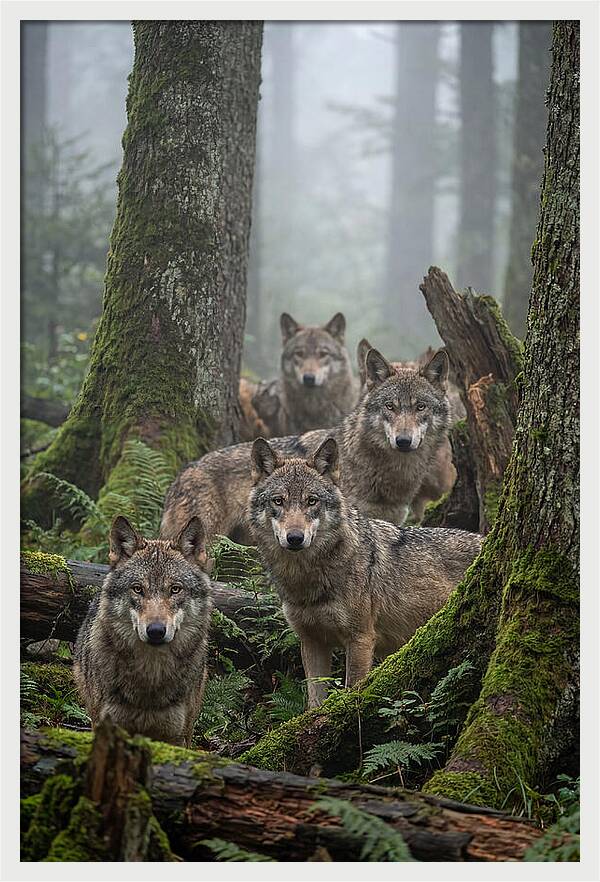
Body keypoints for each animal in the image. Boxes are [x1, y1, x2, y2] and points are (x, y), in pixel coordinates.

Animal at [248, 437, 481, 707]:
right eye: (278, 501)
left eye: (311, 501)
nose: (295, 538)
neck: (306, 580)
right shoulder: (312, 641)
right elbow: (314, 701)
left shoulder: (360, 639)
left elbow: (352, 691)